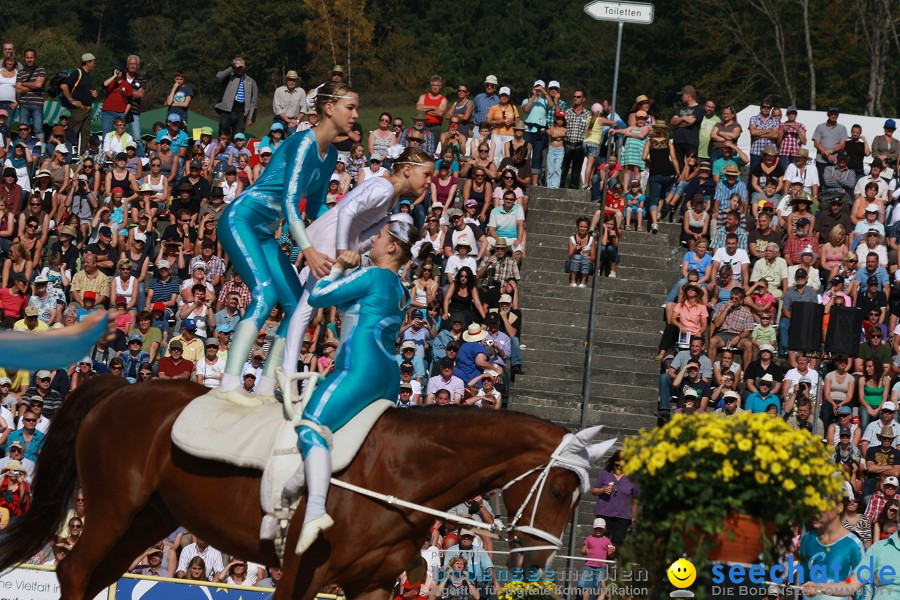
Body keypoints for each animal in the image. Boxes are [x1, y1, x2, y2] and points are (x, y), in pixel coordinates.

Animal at [0, 380, 600, 600]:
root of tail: (118, 388)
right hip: (113, 509)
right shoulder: (301, 574)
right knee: (75, 572)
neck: (399, 471)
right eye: (560, 489)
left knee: (94, 576)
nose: (537, 562)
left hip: (149, 518)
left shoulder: (372, 585)